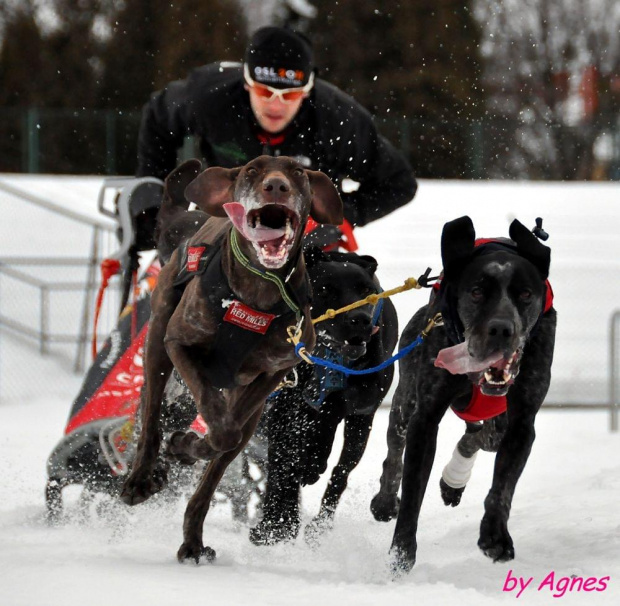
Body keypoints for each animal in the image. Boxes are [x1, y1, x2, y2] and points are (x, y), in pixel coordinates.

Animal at [120, 157, 344, 564]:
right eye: (252, 170)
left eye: (298, 172)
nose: (276, 186)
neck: (256, 297)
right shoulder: (180, 345)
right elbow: (217, 426)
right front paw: (182, 446)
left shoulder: (273, 372)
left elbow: (227, 435)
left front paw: (187, 446)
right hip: (158, 347)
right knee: (151, 417)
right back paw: (142, 478)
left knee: (210, 475)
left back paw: (192, 541)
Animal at [251, 247, 400, 548]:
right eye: (326, 289)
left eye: (366, 290)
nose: (359, 319)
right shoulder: (284, 409)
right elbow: (282, 464)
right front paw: (276, 523)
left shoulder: (360, 407)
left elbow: (329, 430)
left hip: (357, 429)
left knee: (339, 472)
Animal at [368, 216, 556, 576]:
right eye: (477, 291)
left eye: (526, 294)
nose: (501, 329)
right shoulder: (425, 418)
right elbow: (412, 491)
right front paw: (401, 554)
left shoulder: (522, 423)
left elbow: (502, 488)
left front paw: (495, 536)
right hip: (404, 404)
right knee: (394, 451)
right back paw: (385, 499)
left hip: (498, 421)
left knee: (481, 435)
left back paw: (454, 478)